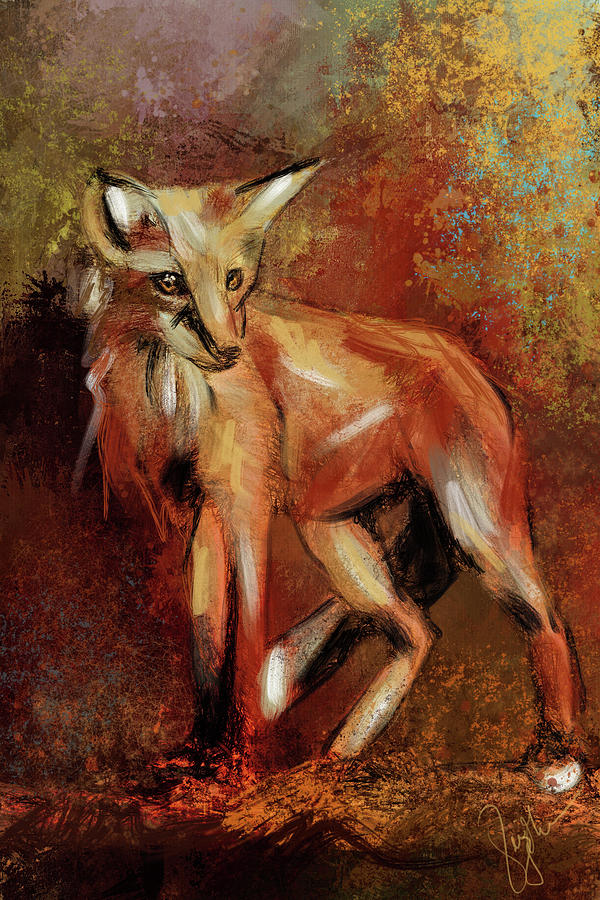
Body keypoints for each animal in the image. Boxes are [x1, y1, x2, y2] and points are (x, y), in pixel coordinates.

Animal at [73, 158, 586, 792]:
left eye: (234, 279)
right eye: (170, 281)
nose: (227, 350)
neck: (169, 389)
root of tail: (469, 361)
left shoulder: (246, 511)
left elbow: (245, 640)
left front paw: (239, 764)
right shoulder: (207, 514)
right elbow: (207, 644)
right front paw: (199, 756)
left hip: (476, 533)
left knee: (544, 618)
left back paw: (558, 755)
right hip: (335, 535)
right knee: (417, 628)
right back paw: (338, 752)